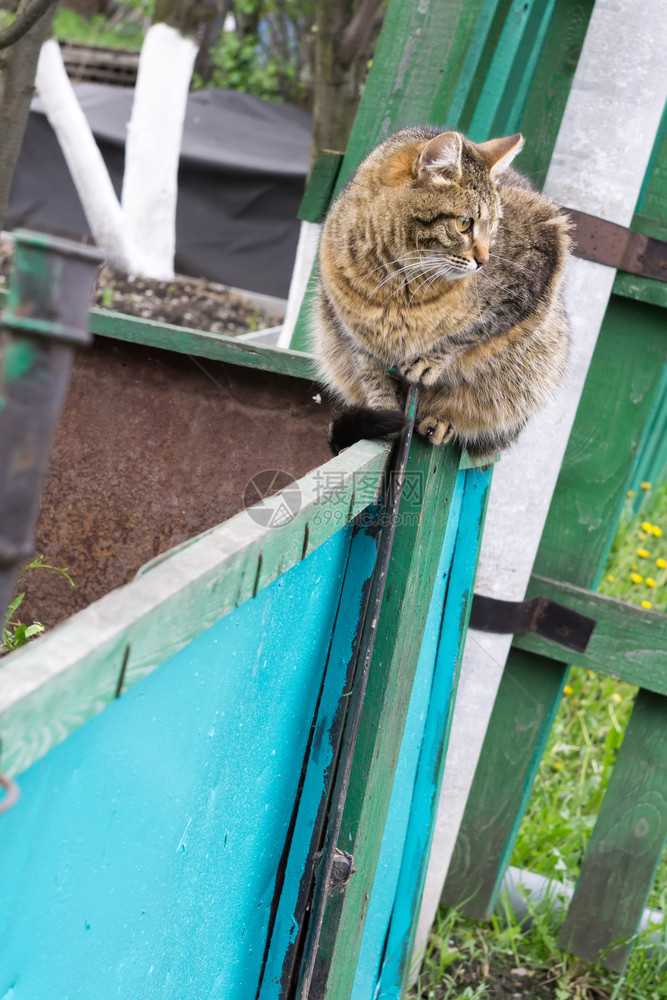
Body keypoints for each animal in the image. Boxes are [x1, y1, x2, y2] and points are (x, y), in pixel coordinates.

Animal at [314, 125, 576, 458]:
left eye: (494, 228)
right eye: (464, 223)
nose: (485, 260)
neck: (394, 279)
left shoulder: (536, 268)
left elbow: (469, 332)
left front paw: (430, 360)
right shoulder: (350, 328)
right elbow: (373, 377)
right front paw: (385, 410)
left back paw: (440, 420)